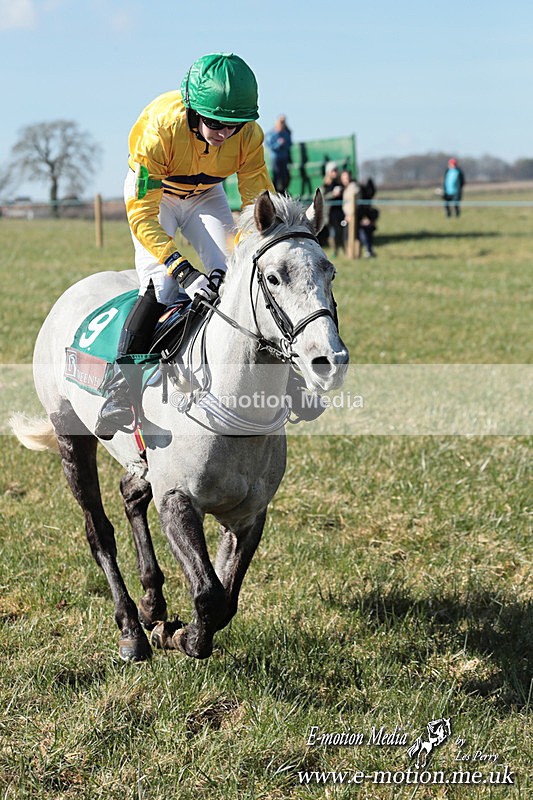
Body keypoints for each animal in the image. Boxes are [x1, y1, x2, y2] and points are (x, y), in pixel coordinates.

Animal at [11, 190, 349, 662]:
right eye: (274, 278)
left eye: (329, 271)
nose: (329, 362)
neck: (233, 406)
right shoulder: (177, 500)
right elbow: (209, 595)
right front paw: (174, 636)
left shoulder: (248, 514)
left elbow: (226, 598)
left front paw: (174, 626)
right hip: (70, 437)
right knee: (99, 533)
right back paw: (132, 630)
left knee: (131, 494)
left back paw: (153, 601)